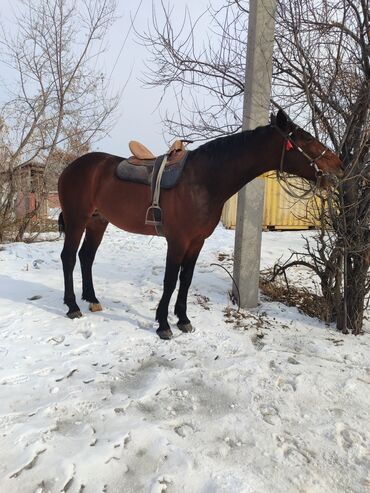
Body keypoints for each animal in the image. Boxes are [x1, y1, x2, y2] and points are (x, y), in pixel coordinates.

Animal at [57, 109, 344, 338]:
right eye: (305, 137)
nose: (339, 165)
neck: (203, 180)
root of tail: (71, 167)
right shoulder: (177, 241)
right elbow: (170, 281)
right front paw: (163, 325)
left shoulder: (196, 242)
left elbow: (186, 280)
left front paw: (183, 320)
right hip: (76, 219)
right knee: (69, 257)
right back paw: (72, 306)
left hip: (98, 222)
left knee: (86, 257)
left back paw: (92, 299)